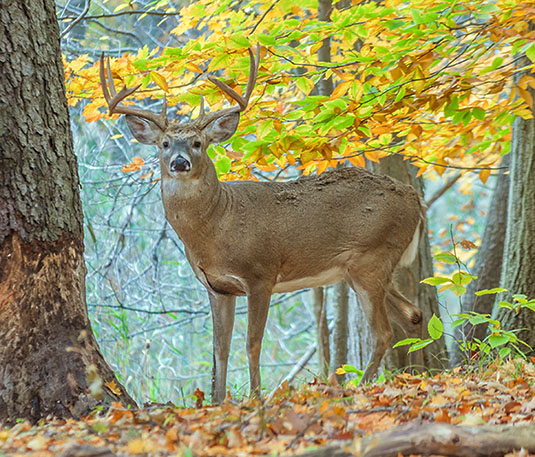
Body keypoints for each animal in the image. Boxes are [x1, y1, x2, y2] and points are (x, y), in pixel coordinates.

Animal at [100, 47, 426, 402]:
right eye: (165, 144)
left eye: (198, 143)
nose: (180, 163)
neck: (217, 226)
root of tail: (416, 200)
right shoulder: (216, 287)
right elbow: (220, 349)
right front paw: (218, 401)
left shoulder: (260, 273)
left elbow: (252, 343)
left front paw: (256, 398)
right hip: (362, 270)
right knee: (413, 315)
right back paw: (415, 376)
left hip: (371, 258)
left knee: (383, 331)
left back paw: (362, 387)